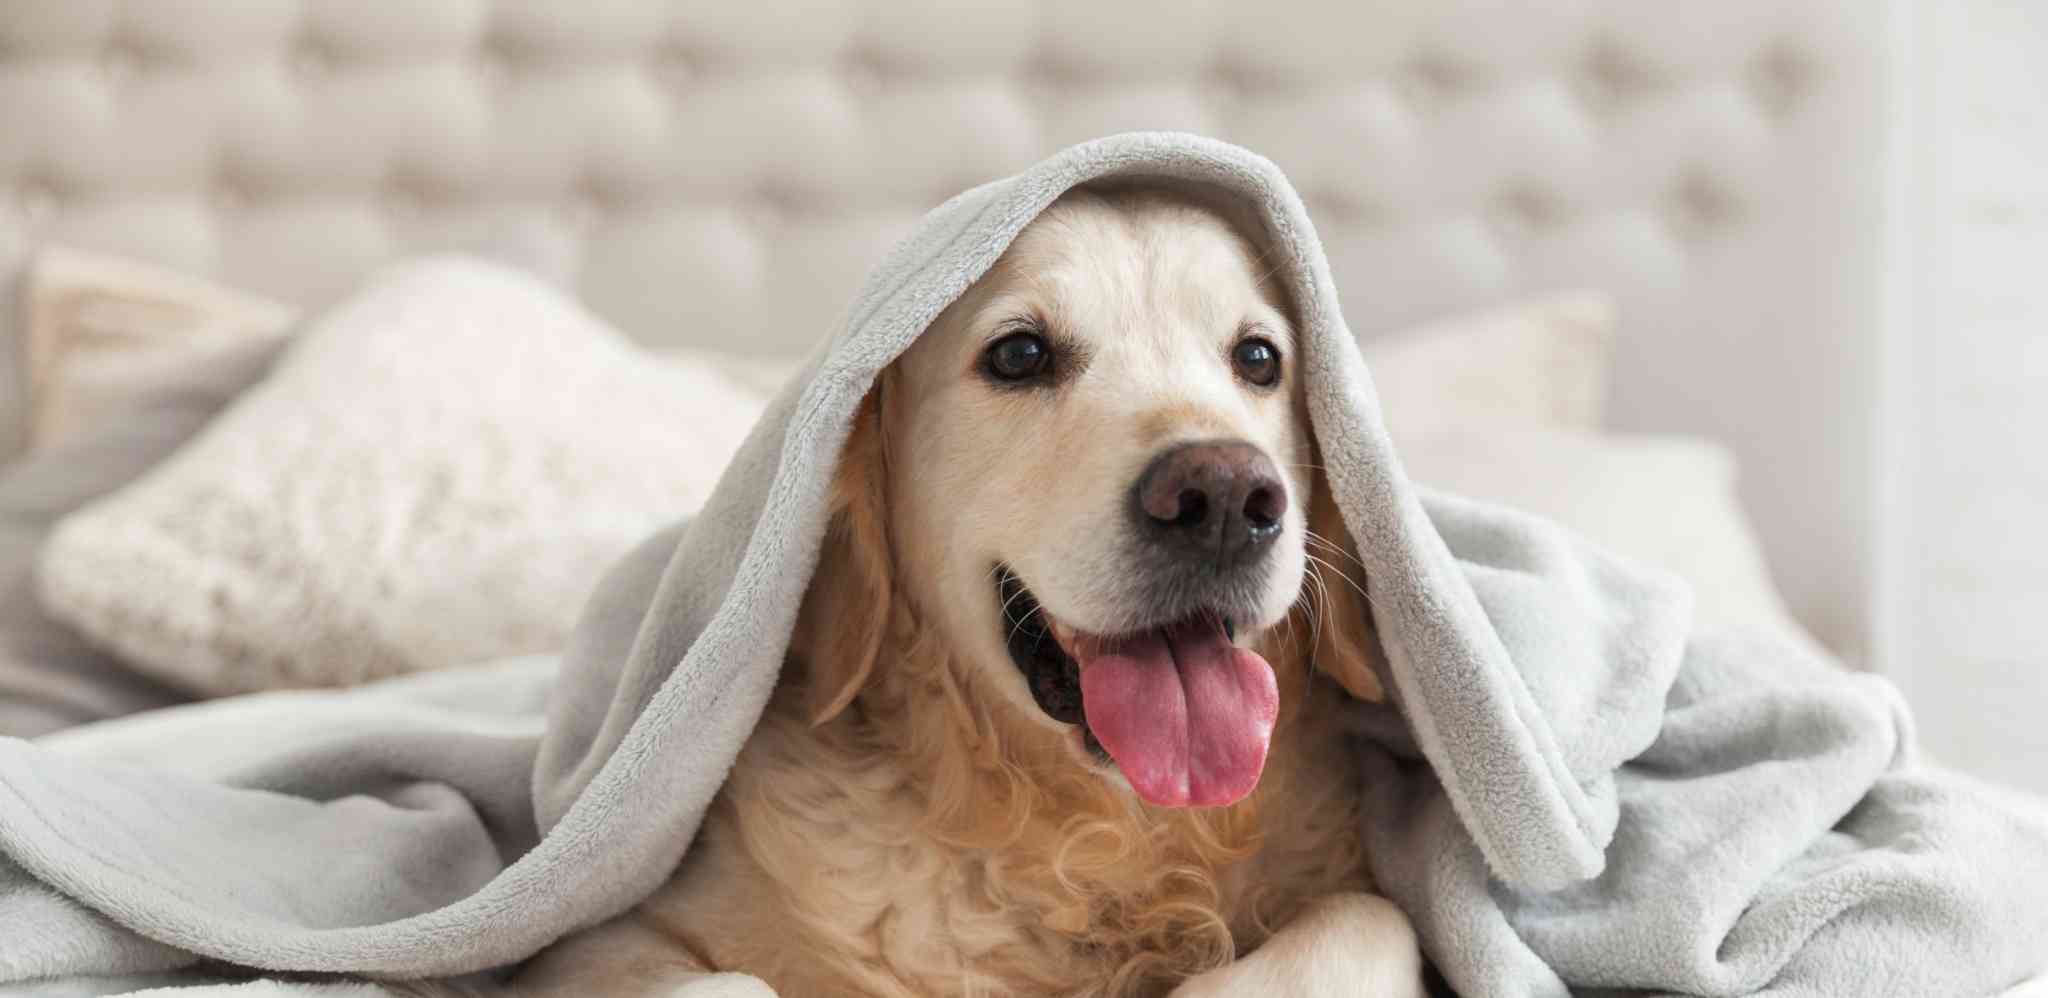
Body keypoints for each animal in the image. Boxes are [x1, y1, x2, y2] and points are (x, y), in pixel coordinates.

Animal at [489, 187, 1433, 998]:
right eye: (1019, 353)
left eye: (1259, 358)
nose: (1227, 498)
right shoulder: (588, 947)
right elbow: (729, 983)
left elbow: (1372, 917)